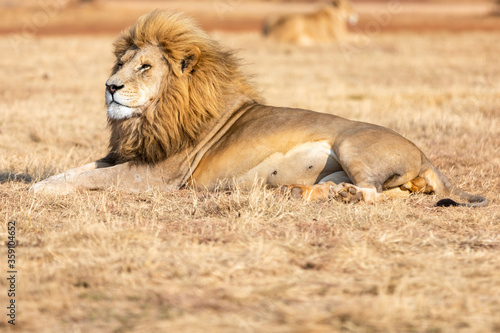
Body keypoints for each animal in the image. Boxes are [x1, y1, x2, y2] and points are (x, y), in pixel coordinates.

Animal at [30, 10, 488, 206]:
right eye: (120, 64)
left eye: (144, 67)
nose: (110, 87)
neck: (152, 118)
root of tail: (426, 156)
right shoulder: (126, 155)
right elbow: (76, 170)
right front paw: (38, 183)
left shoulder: (159, 175)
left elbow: (90, 179)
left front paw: (38, 190)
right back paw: (307, 191)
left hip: (352, 145)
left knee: (378, 195)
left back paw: (342, 195)